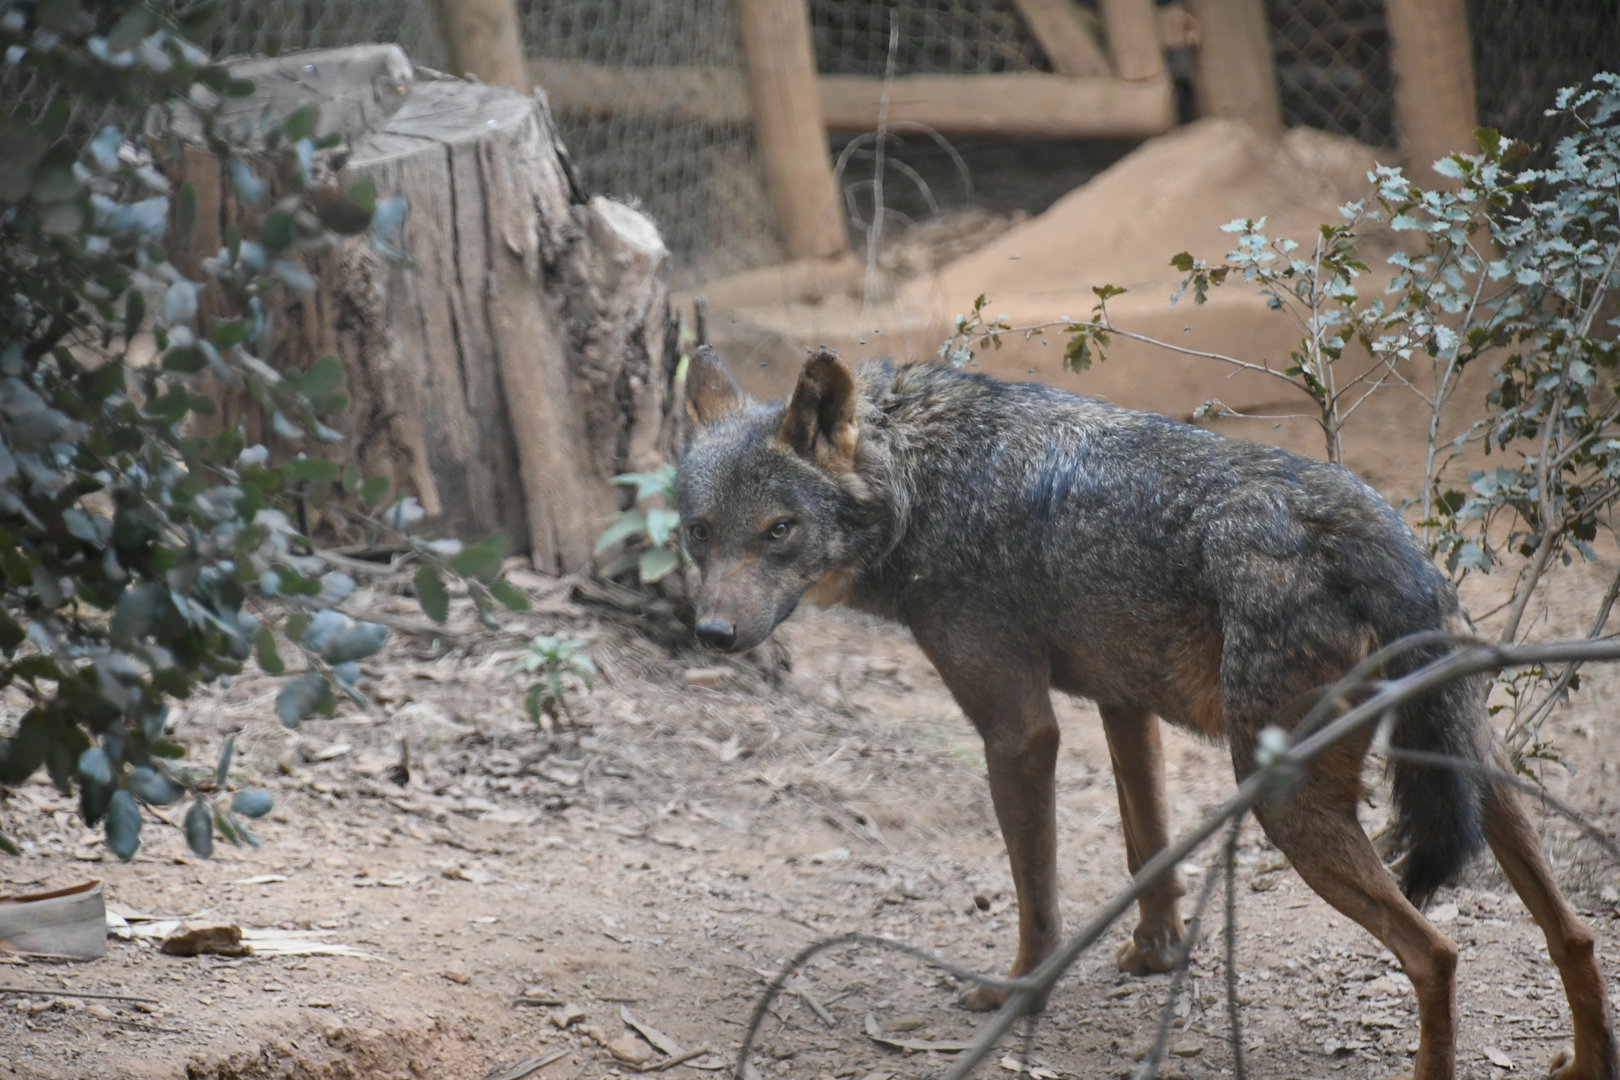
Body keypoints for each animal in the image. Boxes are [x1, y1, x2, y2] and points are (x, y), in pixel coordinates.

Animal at [675, 345, 1616, 1080]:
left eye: (780, 529)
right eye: (698, 532)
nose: (712, 634)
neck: (921, 480)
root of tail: (1370, 530)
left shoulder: (1020, 729)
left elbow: (1037, 887)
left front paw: (1016, 991)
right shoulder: (1123, 703)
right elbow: (1149, 845)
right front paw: (1156, 955)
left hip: (1287, 807)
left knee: (1439, 953)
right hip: (1481, 779)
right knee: (1572, 934)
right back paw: (1586, 1063)